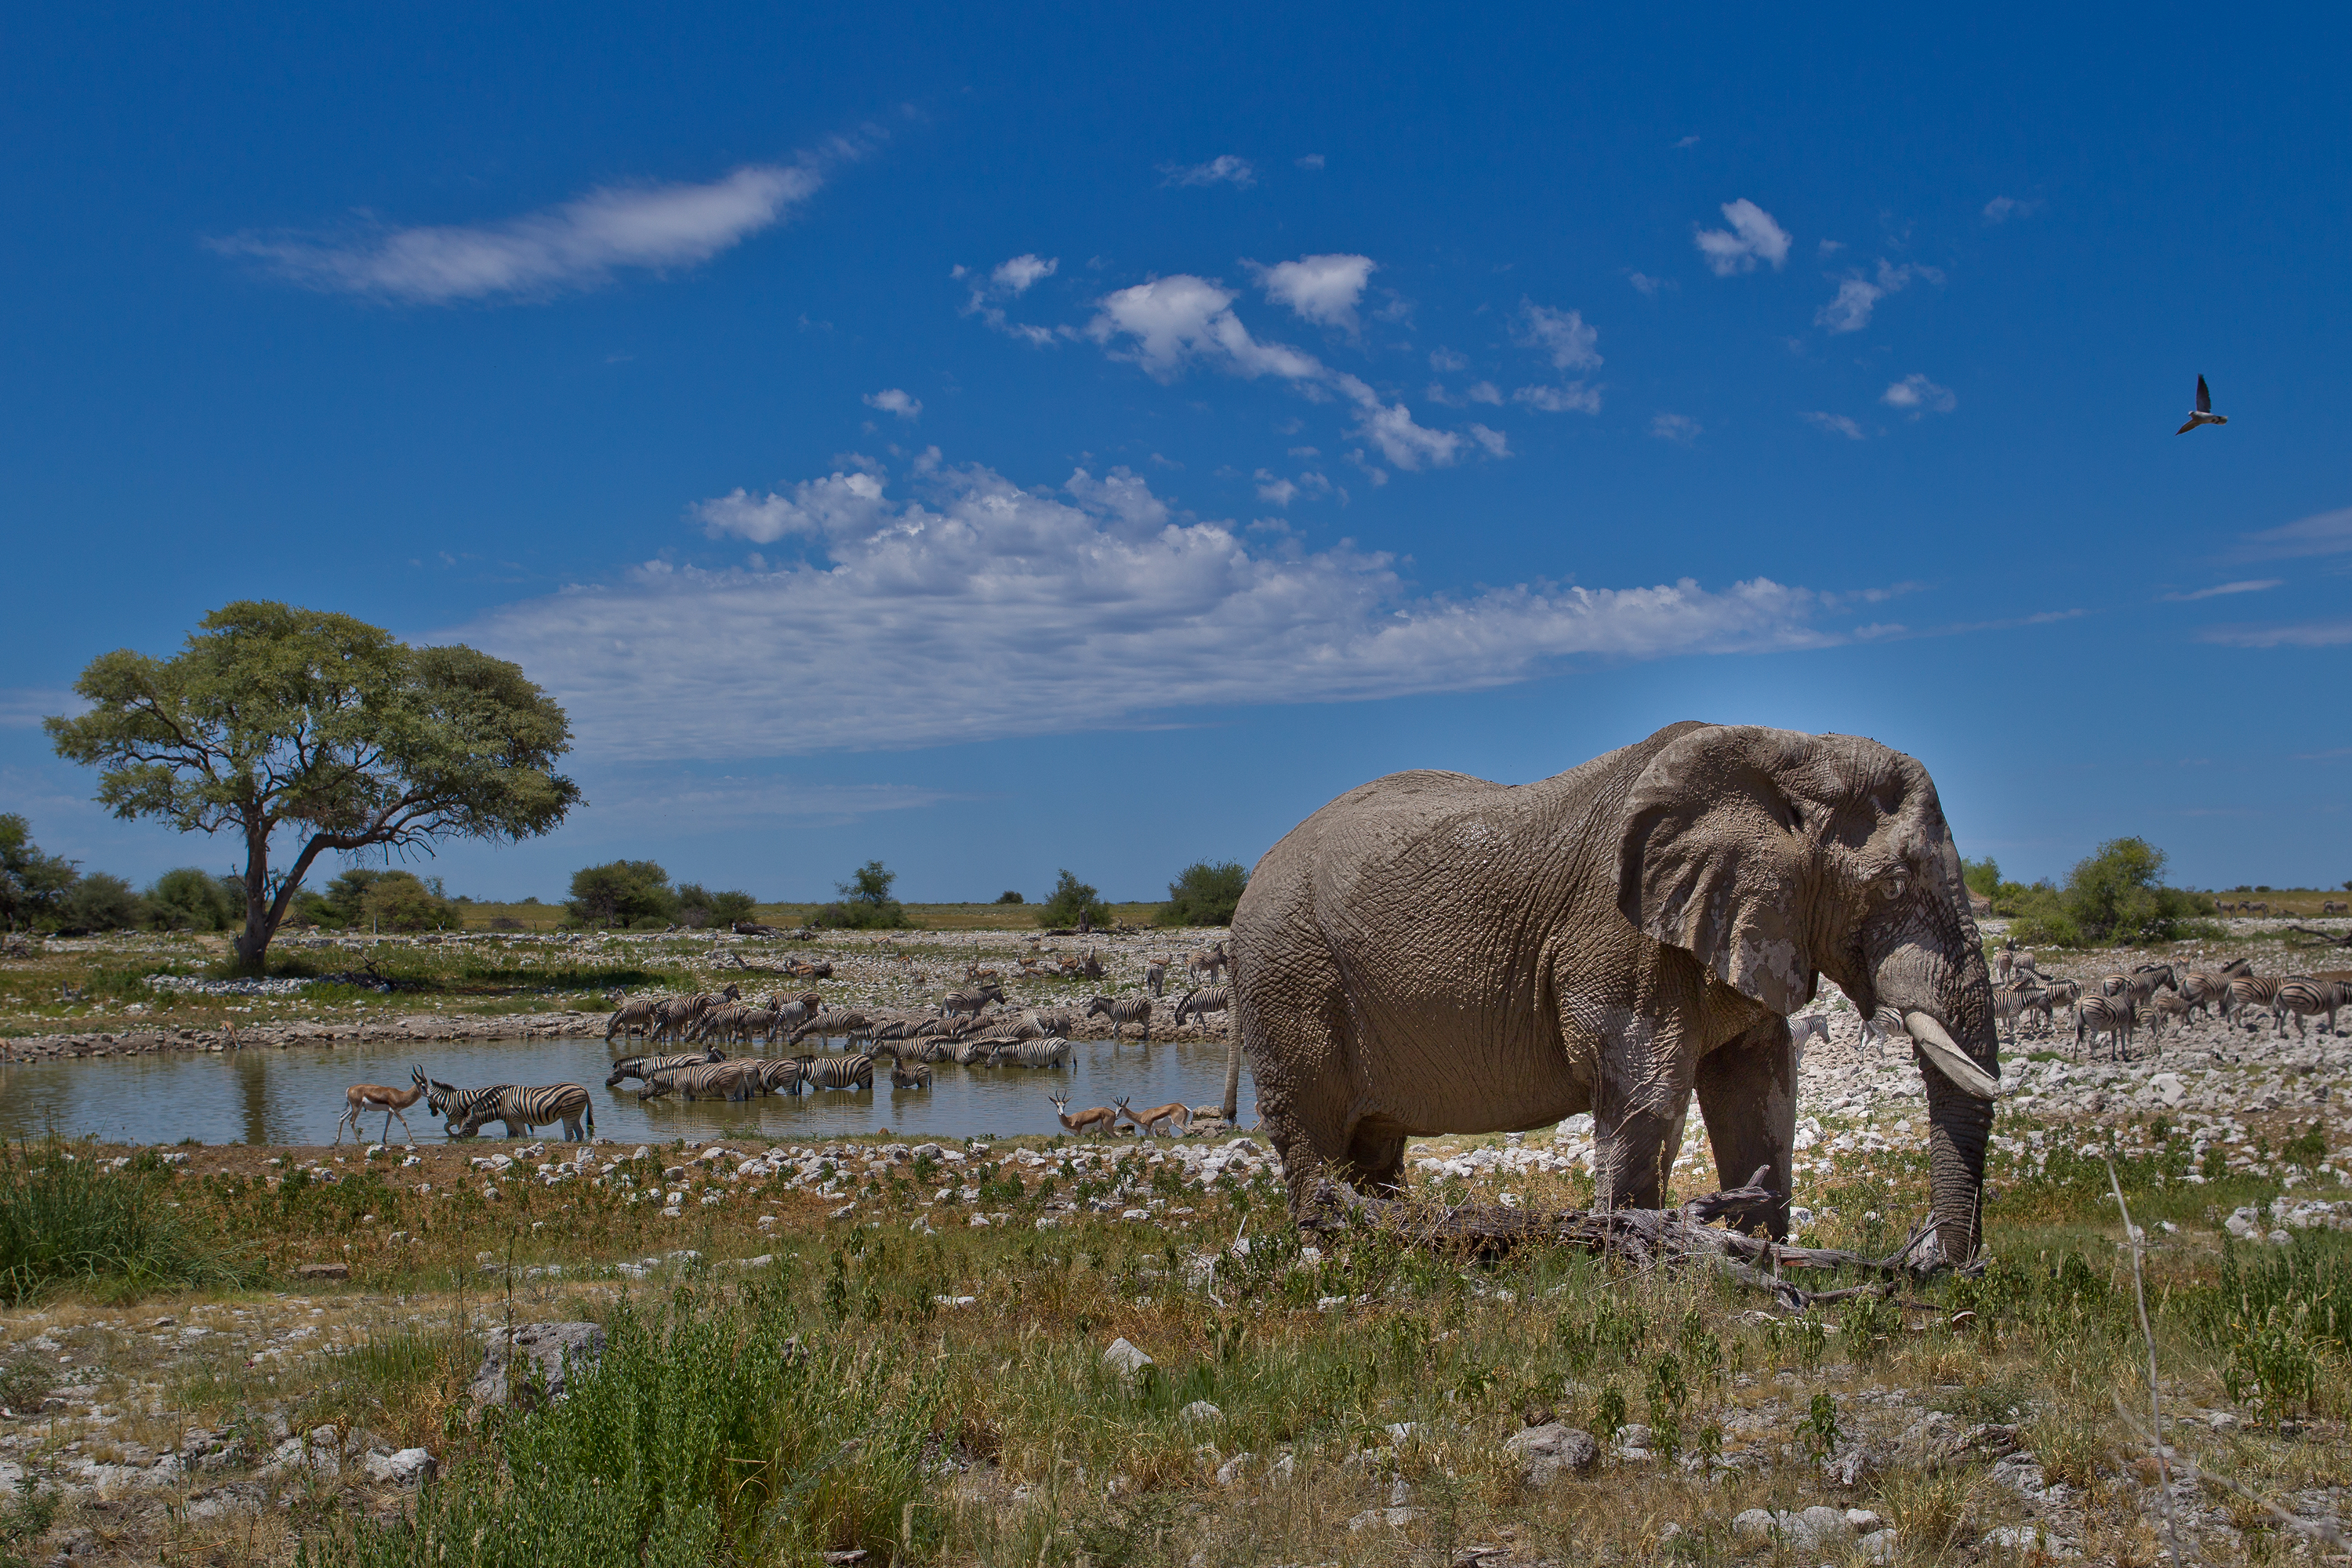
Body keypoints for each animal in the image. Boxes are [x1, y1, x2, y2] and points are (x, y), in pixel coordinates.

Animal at [1231, 721, 2001, 1267]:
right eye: (1894, 885)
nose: (1941, 1267)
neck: (1787, 748)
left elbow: (1761, 1088)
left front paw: (1760, 1258)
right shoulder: (1619, 940)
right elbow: (1644, 1082)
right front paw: (1634, 1265)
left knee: (1373, 1146)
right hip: (1289, 978)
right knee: (1315, 1132)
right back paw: (1332, 1256)